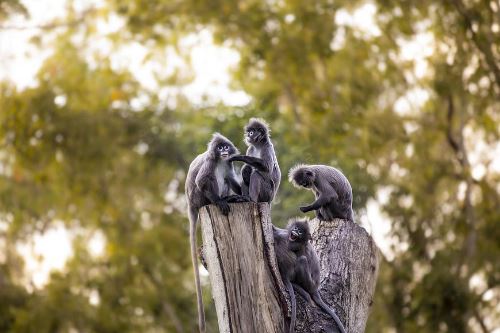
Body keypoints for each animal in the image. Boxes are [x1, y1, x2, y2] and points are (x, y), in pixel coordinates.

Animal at [186, 132, 244, 332]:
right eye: (219, 148)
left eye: (225, 147)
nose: (224, 150)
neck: (220, 160)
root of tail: (191, 206)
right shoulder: (210, 163)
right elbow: (202, 181)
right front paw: (220, 202)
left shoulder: (228, 163)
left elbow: (231, 179)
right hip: (199, 198)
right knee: (208, 181)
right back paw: (221, 201)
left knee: (225, 179)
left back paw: (232, 198)